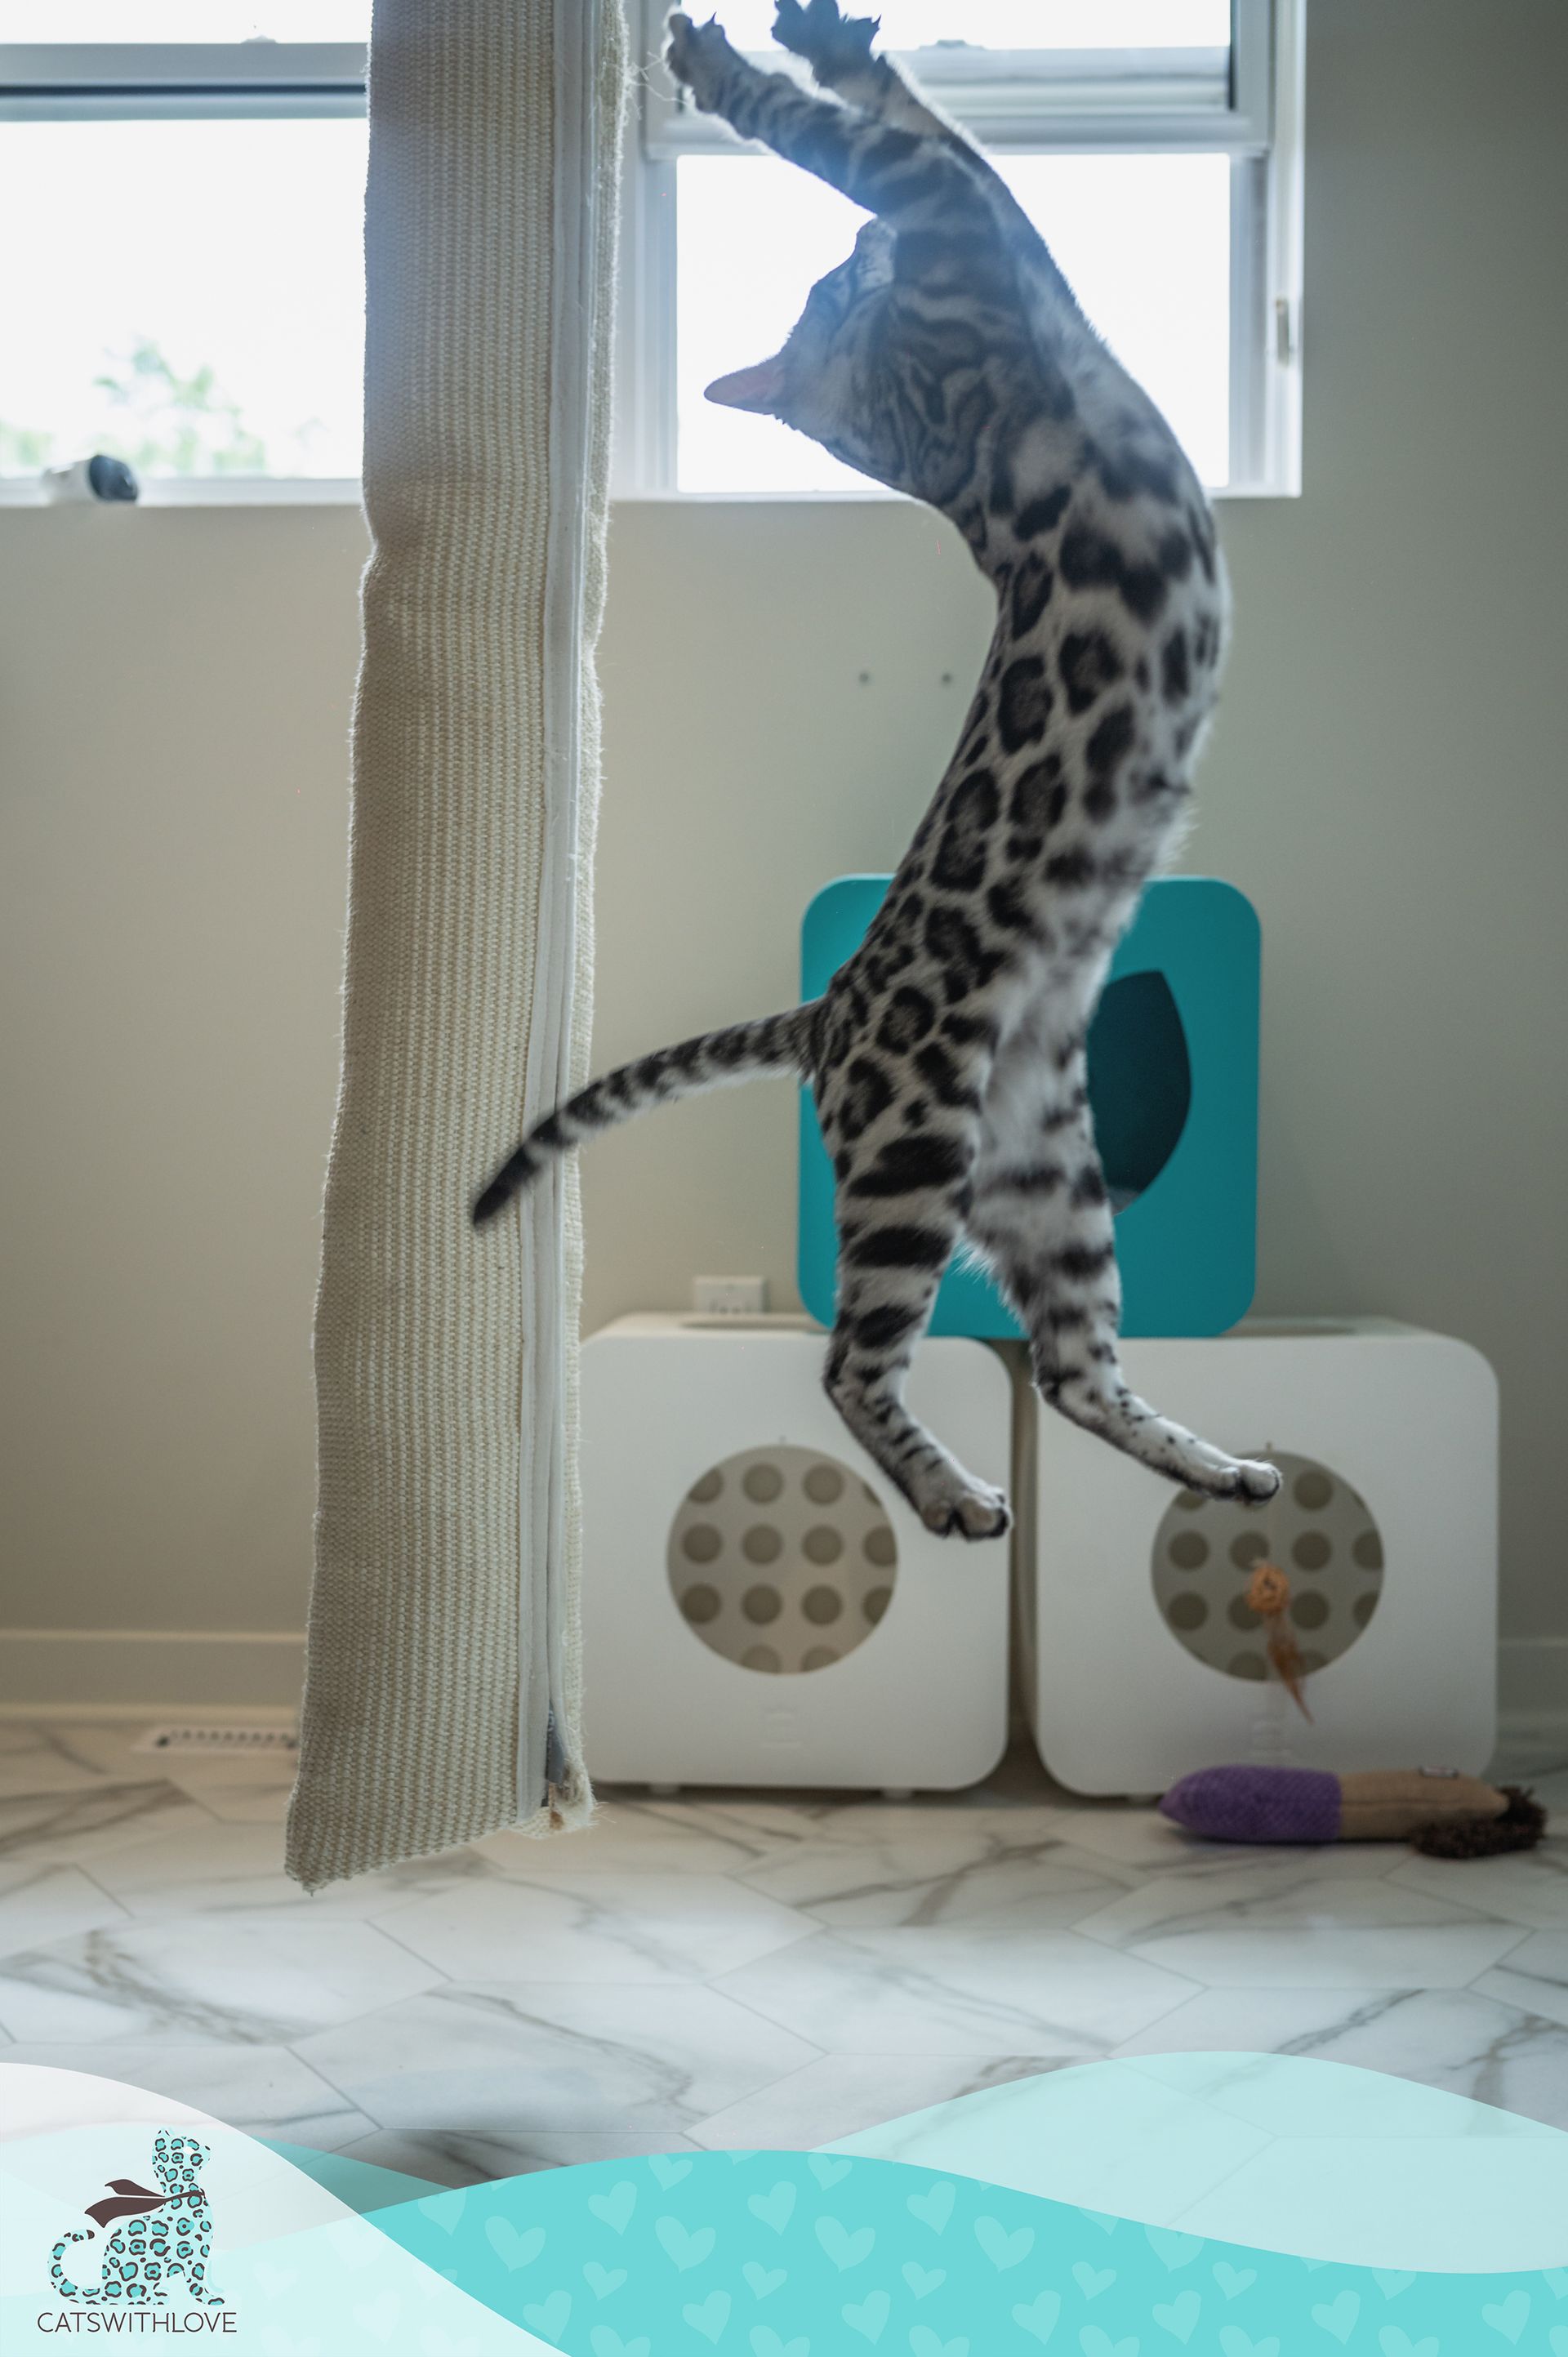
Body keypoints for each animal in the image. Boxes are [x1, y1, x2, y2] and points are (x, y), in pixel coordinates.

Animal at [471, 0, 1282, 1536]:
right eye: (826, 286)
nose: (851, 260)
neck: (895, 418)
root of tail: (827, 1010)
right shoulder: (960, 223)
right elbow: (845, 131)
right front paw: (746, 62)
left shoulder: (972, 232)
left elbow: (892, 120)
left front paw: (812, 53)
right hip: (918, 1154)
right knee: (851, 1365)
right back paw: (957, 1498)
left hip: (1052, 1173)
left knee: (1071, 1367)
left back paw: (1216, 1466)